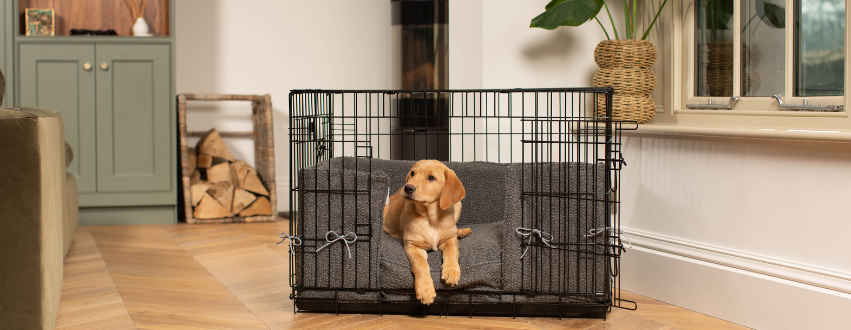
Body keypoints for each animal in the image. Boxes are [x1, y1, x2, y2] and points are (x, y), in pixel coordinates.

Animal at [384, 159, 472, 304]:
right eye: (412, 173)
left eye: (431, 178)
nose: (408, 188)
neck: (430, 217)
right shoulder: (413, 245)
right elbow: (421, 265)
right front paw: (425, 290)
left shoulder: (449, 239)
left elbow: (452, 251)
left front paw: (452, 271)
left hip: (458, 204)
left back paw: (461, 231)